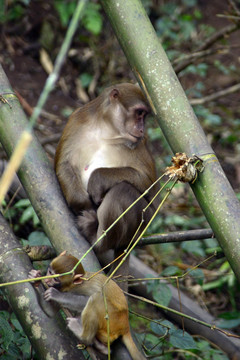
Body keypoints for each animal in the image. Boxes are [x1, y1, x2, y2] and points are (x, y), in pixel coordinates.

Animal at [55, 83, 158, 278]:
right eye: (139, 113)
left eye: (144, 115)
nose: (142, 129)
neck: (107, 131)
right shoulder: (77, 120)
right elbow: (63, 164)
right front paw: (83, 204)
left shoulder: (139, 142)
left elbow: (149, 185)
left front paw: (97, 179)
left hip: (142, 224)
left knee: (123, 191)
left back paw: (96, 238)